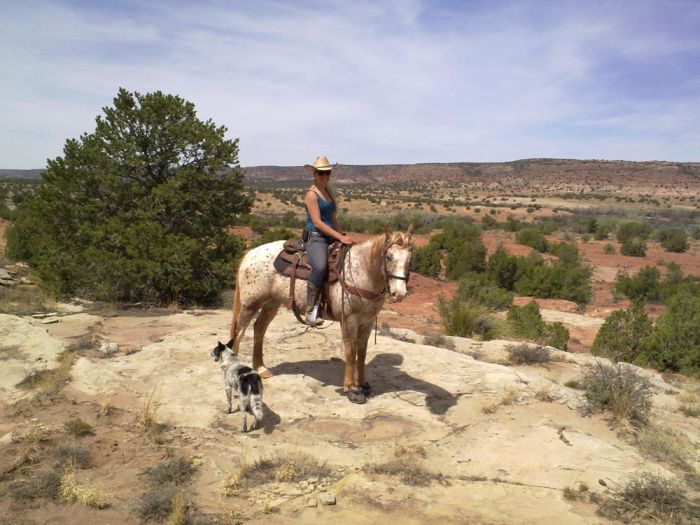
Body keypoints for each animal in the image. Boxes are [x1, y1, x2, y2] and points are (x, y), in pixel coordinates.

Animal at [230, 227, 412, 404]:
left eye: (410, 259)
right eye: (388, 257)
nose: (400, 294)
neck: (362, 272)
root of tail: (251, 252)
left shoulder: (367, 322)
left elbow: (362, 354)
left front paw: (362, 385)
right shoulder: (349, 321)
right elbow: (350, 353)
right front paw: (351, 389)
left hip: (271, 304)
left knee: (259, 328)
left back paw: (261, 368)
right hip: (250, 304)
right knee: (239, 334)